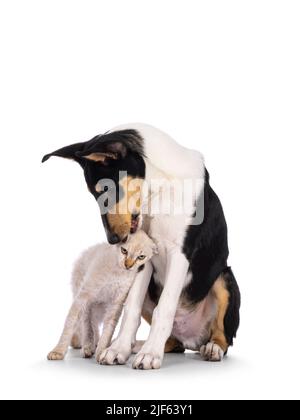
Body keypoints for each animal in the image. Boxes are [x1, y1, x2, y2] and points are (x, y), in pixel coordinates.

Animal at [47, 230, 157, 360]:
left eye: (141, 257)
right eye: (124, 250)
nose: (128, 265)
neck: (118, 273)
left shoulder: (115, 304)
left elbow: (108, 330)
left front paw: (102, 352)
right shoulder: (84, 295)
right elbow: (70, 324)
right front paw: (58, 351)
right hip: (85, 301)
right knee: (87, 325)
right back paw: (88, 347)